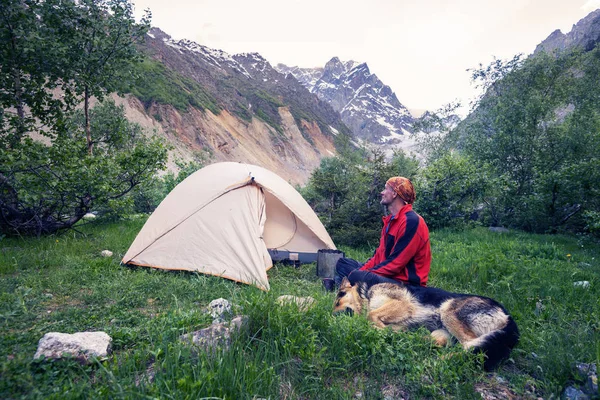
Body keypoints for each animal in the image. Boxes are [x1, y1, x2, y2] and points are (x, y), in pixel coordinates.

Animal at [332, 276, 520, 370]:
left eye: (340, 296)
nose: (334, 316)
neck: (366, 294)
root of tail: (508, 317)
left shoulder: (403, 304)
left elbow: (370, 315)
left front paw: (378, 329)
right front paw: (385, 331)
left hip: (448, 310)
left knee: (470, 347)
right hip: (443, 329)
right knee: (442, 342)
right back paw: (410, 340)